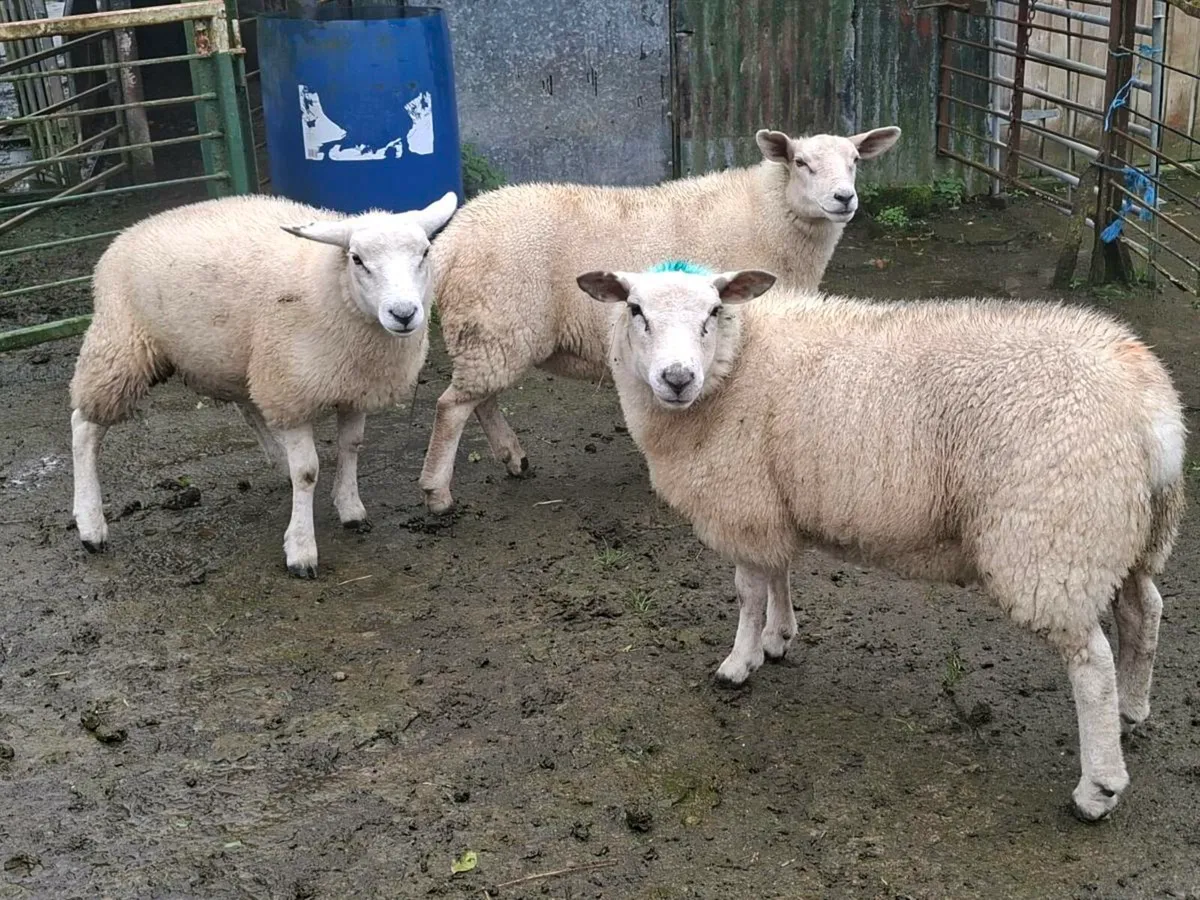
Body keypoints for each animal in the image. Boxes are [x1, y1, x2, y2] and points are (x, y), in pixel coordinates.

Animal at [69, 191, 458, 578]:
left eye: (425, 253)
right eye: (357, 259)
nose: (403, 314)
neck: (330, 287)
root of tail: (127, 234)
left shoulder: (353, 388)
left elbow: (352, 447)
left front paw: (350, 508)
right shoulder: (291, 393)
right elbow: (307, 472)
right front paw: (301, 550)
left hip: (238, 357)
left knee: (248, 407)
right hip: (121, 346)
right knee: (83, 427)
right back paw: (90, 525)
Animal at [418, 125, 901, 513]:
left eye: (855, 161)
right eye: (801, 163)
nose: (844, 198)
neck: (768, 215)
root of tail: (451, 238)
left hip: (489, 333)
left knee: (480, 399)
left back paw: (513, 457)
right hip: (496, 324)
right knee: (452, 406)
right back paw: (437, 492)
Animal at [574, 263, 1186, 822]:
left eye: (713, 311)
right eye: (635, 310)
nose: (677, 378)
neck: (739, 360)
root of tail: (1153, 408)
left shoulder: (741, 503)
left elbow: (748, 592)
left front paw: (738, 663)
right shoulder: (773, 501)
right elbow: (779, 573)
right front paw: (779, 638)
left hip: (1055, 536)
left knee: (1092, 663)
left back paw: (1097, 789)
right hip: (1128, 529)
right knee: (1144, 611)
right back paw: (1133, 709)